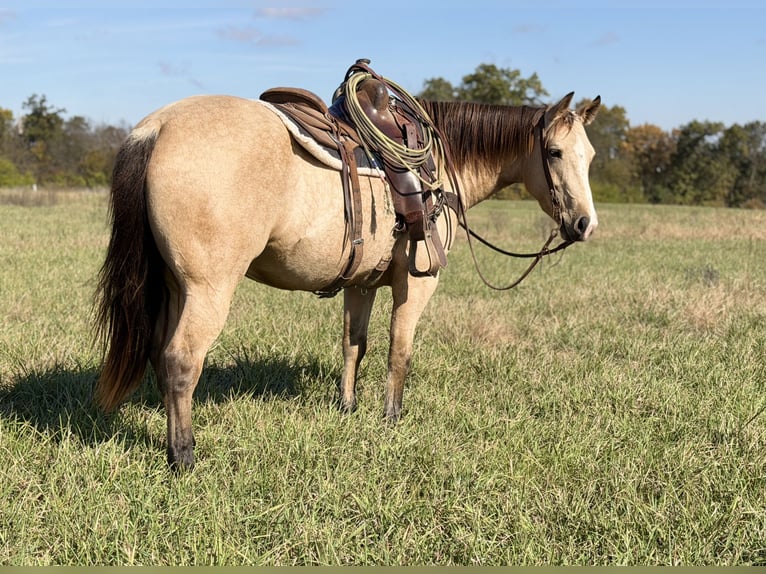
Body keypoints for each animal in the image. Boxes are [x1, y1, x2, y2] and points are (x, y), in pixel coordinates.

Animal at [94, 87, 601, 470]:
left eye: (590, 156)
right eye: (554, 152)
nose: (584, 225)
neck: (439, 166)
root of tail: (156, 128)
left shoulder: (361, 285)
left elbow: (353, 345)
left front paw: (349, 407)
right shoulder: (416, 284)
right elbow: (400, 351)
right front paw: (392, 419)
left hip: (171, 286)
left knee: (159, 354)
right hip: (207, 290)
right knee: (181, 361)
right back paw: (183, 456)